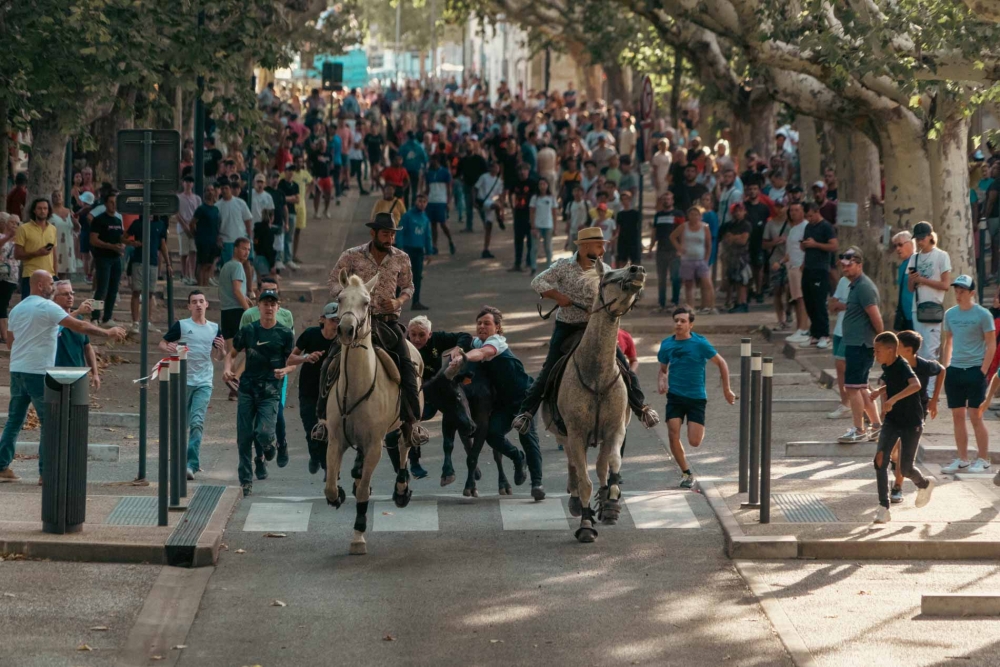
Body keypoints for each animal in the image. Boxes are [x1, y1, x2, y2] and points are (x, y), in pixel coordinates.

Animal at [326, 268, 424, 556]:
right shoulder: (335, 440)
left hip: (406, 419)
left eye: (366, 302)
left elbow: (362, 494)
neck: (356, 386)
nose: (346, 330)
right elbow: (330, 486)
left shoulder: (373, 445)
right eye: (340, 298)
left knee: (403, 445)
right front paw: (339, 494)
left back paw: (401, 489)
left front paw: (358, 537)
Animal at [544, 260, 644, 544]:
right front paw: (586, 524)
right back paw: (576, 502)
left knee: (599, 466)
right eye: (609, 276)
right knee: (574, 467)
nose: (637, 269)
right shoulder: (576, 433)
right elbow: (584, 480)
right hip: (565, 435)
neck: (597, 374)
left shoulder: (615, 429)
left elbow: (611, 464)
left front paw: (611, 501)